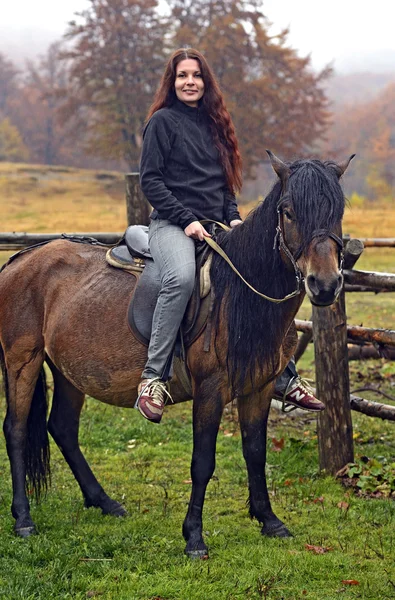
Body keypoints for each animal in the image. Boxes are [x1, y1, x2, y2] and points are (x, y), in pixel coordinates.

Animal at [0, 152, 352, 556]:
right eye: (288, 211)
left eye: (338, 211)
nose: (324, 285)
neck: (238, 295)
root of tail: (20, 258)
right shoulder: (210, 390)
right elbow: (202, 462)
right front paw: (194, 536)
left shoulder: (259, 389)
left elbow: (255, 452)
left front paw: (269, 520)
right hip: (22, 360)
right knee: (16, 429)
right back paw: (23, 518)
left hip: (70, 370)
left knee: (62, 428)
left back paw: (104, 502)